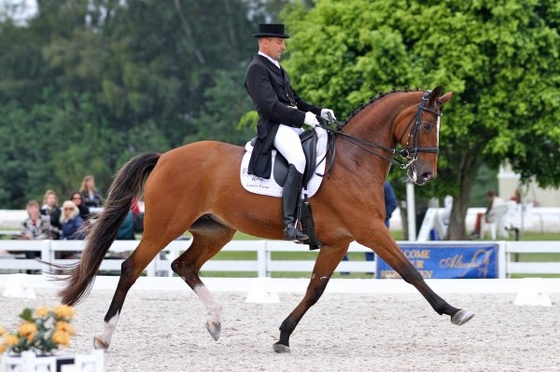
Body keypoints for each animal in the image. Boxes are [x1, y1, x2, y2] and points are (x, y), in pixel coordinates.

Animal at [59, 85, 474, 354]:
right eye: (425, 125)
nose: (425, 176)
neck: (354, 161)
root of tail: (165, 157)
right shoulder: (368, 230)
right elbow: (410, 271)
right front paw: (455, 311)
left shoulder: (339, 241)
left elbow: (315, 290)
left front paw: (283, 336)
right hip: (164, 227)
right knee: (131, 268)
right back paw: (104, 337)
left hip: (215, 231)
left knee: (184, 265)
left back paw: (215, 321)